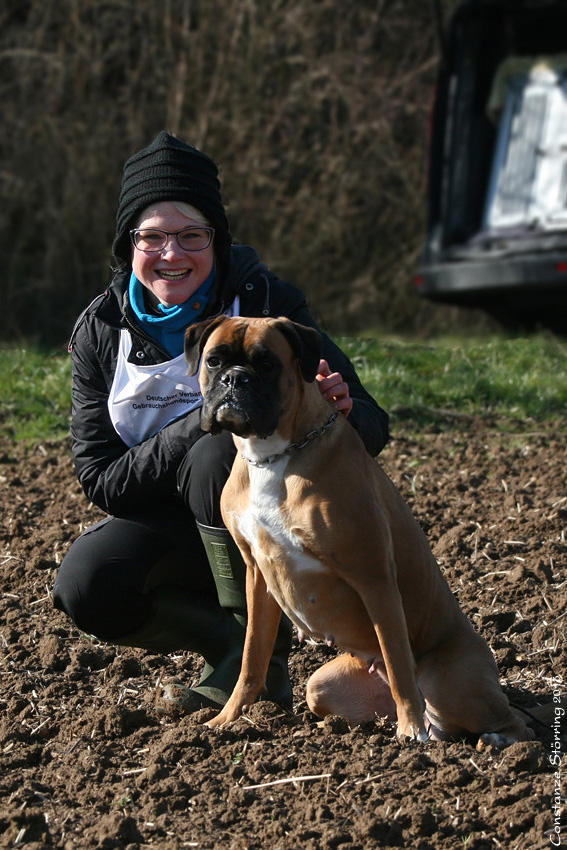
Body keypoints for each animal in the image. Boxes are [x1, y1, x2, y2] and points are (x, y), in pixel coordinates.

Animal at [185, 314, 532, 744]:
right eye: (214, 360)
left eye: (267, 364)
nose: (235, 378)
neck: (273, 455)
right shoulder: (257, 575)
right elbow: (252, 657)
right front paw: (226, 720)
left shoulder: (374, 578)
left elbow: (399, 663)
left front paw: (409, 730)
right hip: (322, 687)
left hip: (448, 681)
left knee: (510, 719)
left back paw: (488, 739)